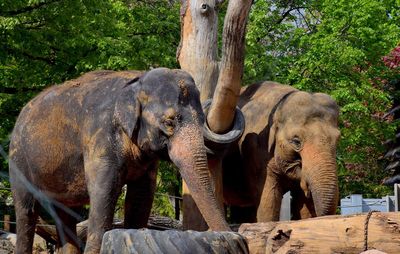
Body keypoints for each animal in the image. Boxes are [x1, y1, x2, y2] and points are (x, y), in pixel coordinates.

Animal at [7, 68, 230, 254]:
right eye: (169, 122)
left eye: (202, 120)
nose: (227, 234)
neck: (137, 80)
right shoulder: (100, 137)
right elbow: (104, 193)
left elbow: (140, 197)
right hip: (18, 159)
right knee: (26, 210)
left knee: (65, 213)